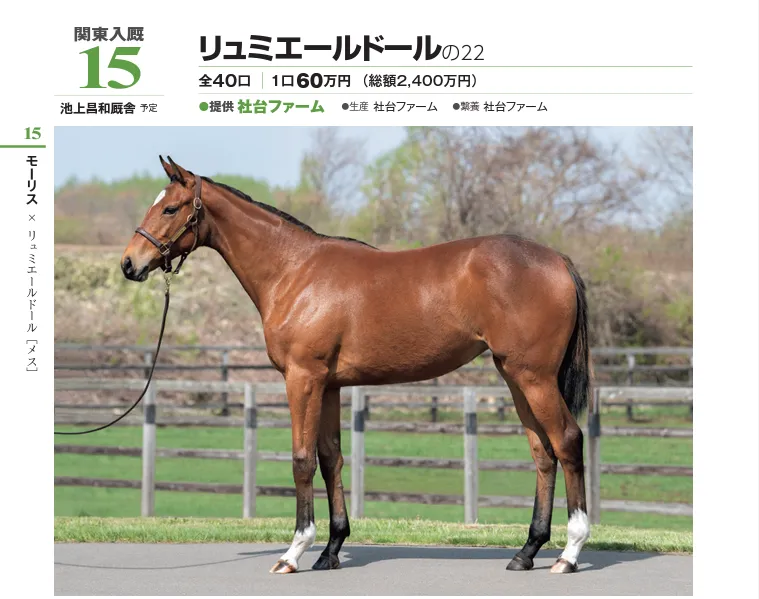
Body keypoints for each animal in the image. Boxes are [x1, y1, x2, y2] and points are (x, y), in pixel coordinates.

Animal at [121, 156, 592, 575]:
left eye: (169, 208)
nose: (129, 263)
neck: (294, 271)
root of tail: (558, 260)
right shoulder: (329, 385)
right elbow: (331, 458)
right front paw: (331, 549)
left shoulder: (302, 378)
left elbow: (302, 460)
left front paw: (294, 552)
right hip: (515, 376)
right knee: (542, 452)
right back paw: (527, 552)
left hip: (534, 377)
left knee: (567, 441)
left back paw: (569, 553)